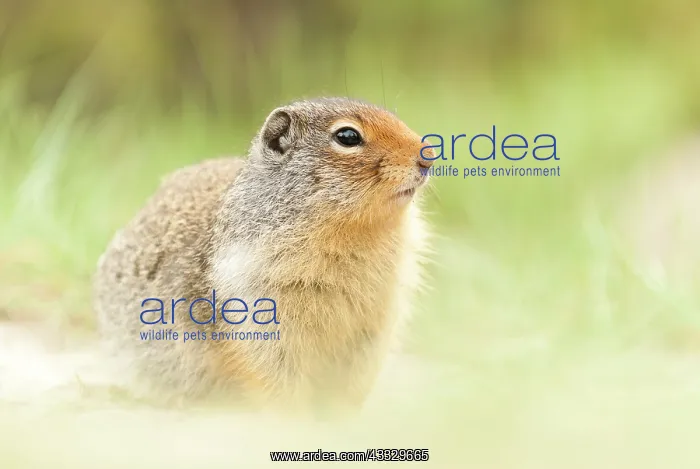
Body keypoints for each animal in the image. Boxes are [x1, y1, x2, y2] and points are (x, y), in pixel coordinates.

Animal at [93, 97, 434, 412]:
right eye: (347, 136)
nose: (429, 155)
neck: (358, 235)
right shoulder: (263, 317)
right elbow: (279, 380)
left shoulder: (377, 324)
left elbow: (351, 383)